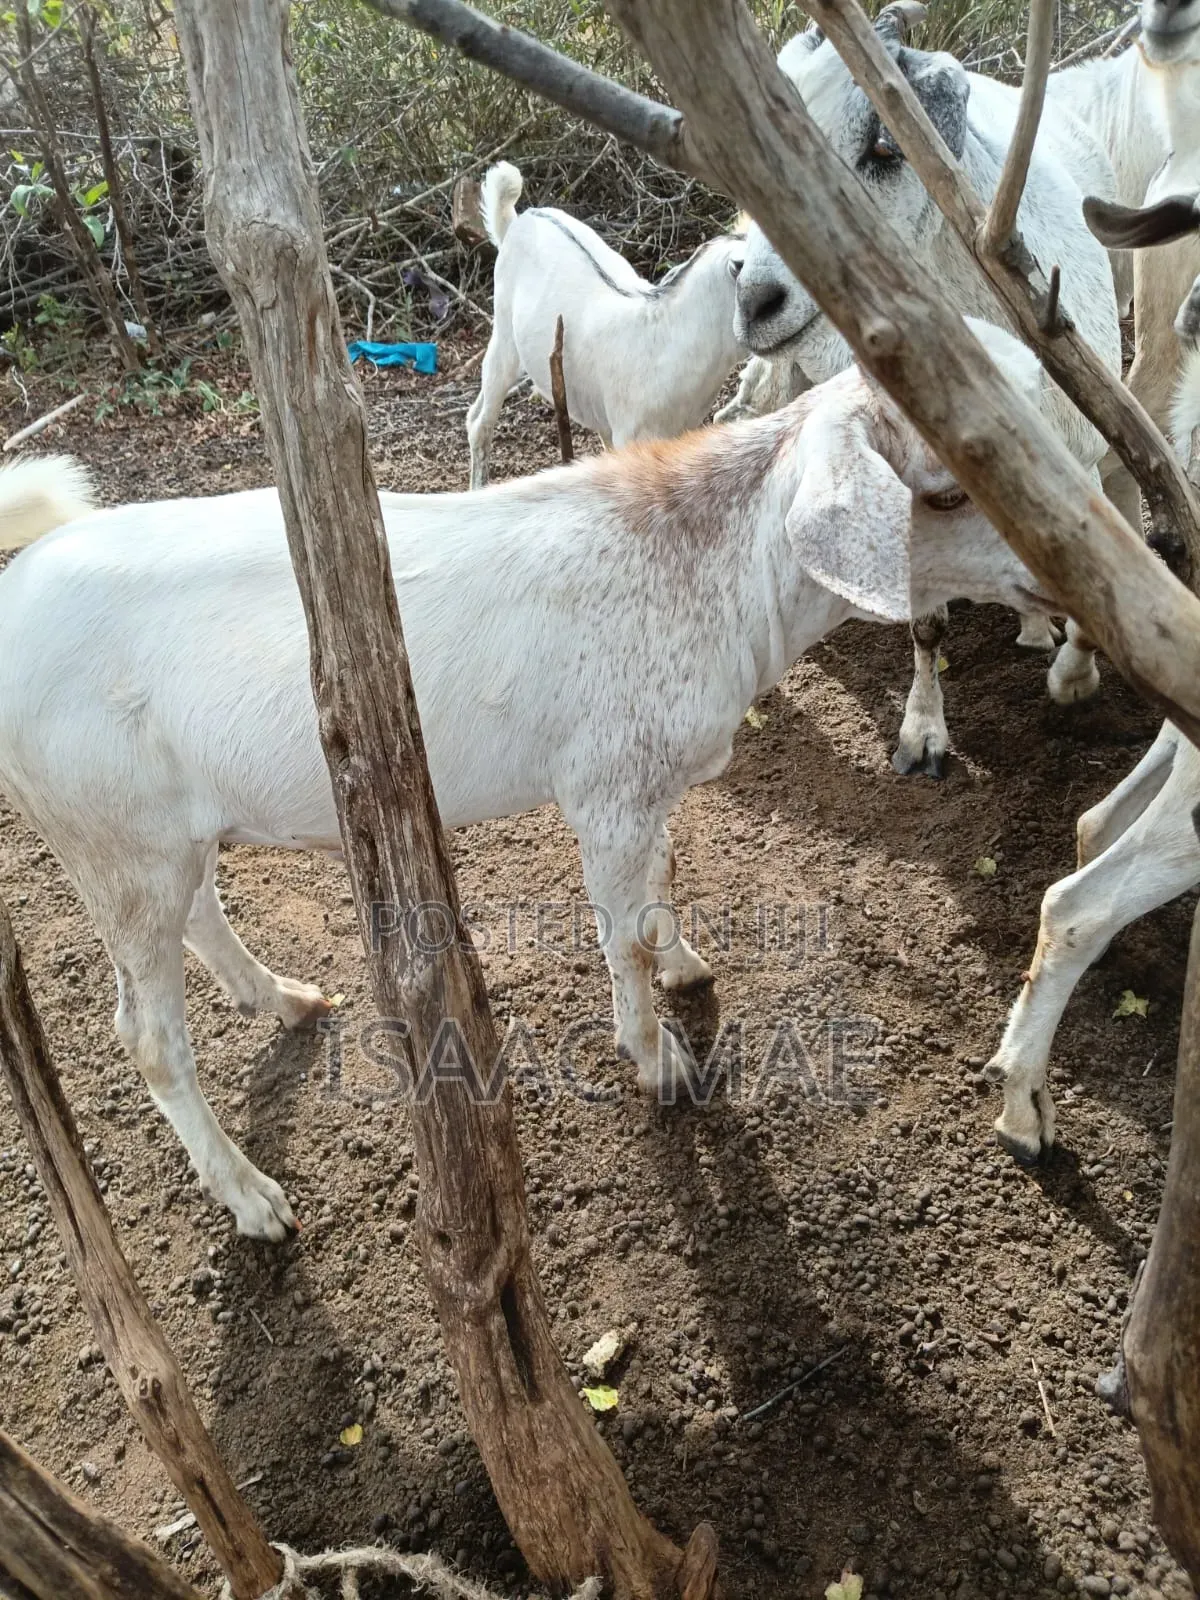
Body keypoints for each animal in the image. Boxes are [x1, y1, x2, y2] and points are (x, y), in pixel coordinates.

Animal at [0, 324, 1054, 1238]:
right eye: (945, 494)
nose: (1060, 570)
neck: (721, 573)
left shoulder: (646, 786)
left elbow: (661, 886)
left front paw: (685, 963)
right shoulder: (608, 786)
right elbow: (621, 937)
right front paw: (659, 1061)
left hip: (160, 828)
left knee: (202, 910)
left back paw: (284, 998)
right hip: (110, 834)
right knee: (146, 1031)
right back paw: (252, 1198)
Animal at [732, 3, 1126, 777]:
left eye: (885, 147)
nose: (756, 301)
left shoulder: (1082, 455)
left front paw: (1073, 678)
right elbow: (927, 625)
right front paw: (923, 736)